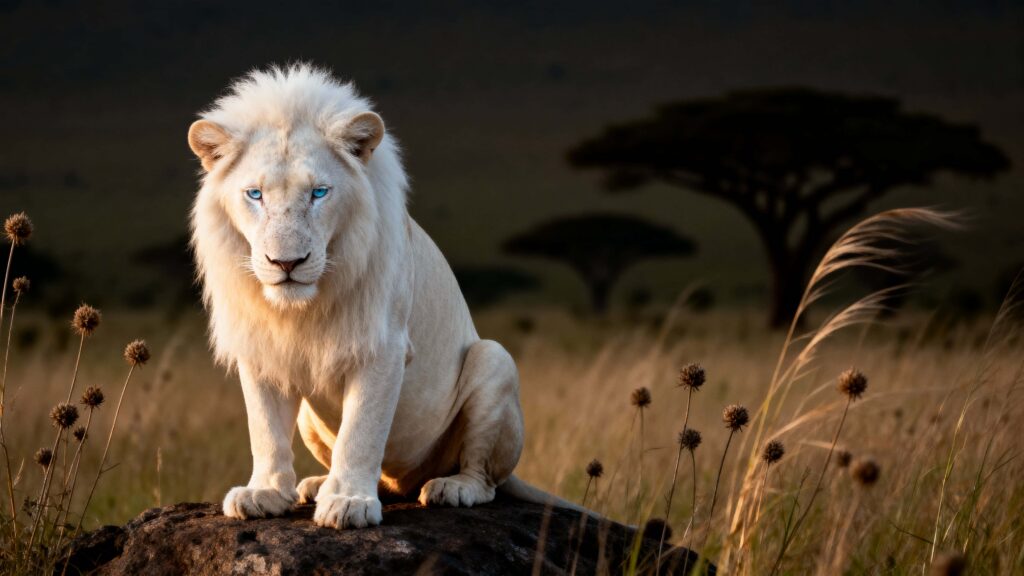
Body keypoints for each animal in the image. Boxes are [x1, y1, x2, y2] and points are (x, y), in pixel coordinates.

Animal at [187, 64, 574, 529]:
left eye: (319, 192)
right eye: (255, 194)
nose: (287, 262)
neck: (301, 307)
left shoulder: (382, 344)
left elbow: (362, 430)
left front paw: (349, 502)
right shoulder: (260, 346)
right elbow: (264, 428)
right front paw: (265, 492)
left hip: (494, 360)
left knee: (485, 478)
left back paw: (451, 488)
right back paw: (318, 484)